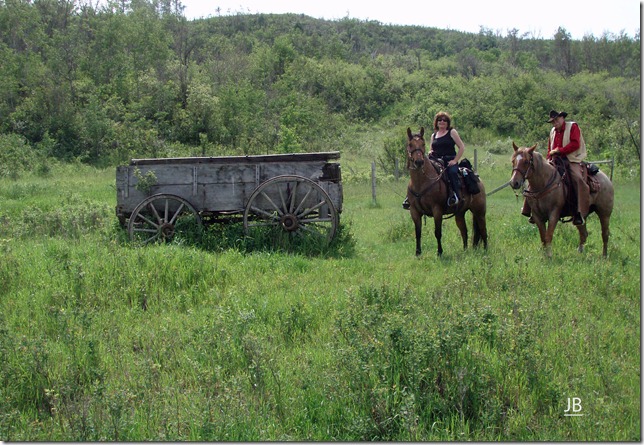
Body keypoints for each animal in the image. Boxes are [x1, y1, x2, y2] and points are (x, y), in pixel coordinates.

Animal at [406, 126, 486, 255]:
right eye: (410, 144)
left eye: (423, 144)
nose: (419, 162)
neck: (421, 182)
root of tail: (478, 180)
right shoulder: (414, 211)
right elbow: (418, 233)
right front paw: (418, 253)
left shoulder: (437, 210)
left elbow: (438, 232)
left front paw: (439, 252)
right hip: (460, 213)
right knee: (464, 231)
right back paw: (465, 251)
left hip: (479, 212)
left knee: (483, 230)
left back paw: (486, 250)